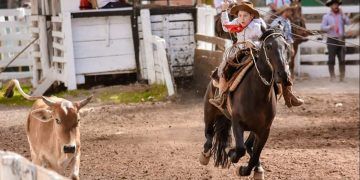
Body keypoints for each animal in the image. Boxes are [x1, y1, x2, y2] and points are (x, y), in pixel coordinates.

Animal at [200, 27, 292, 179]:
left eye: (286, 46)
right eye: (268, 46)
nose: (283, 74)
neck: (256, 94)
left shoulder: (264, 130)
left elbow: (255, 153)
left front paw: (246, 170)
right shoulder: (237, 123)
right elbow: (240, 148)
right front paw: (232, 154)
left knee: (249, 146)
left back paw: (257, 167)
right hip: (209, 111)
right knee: (209, 135)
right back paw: (205, 156)